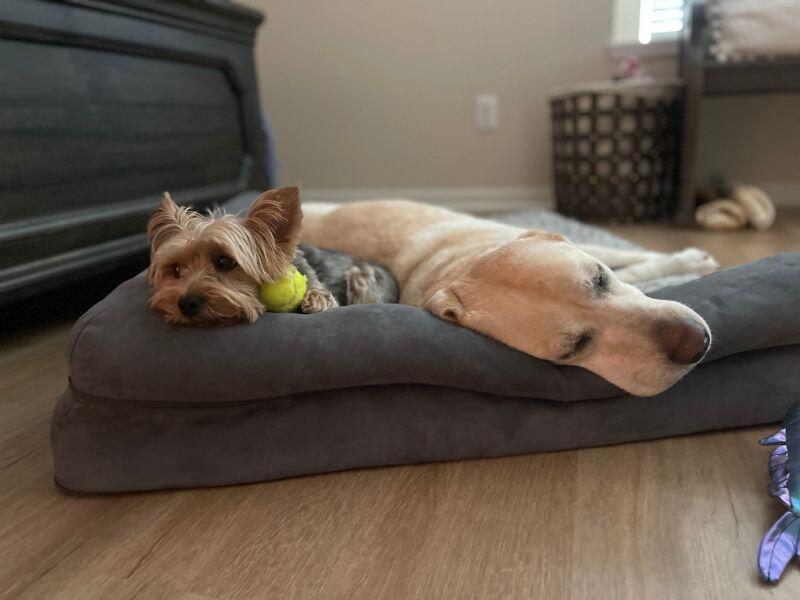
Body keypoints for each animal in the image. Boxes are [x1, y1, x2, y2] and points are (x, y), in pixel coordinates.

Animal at [300, 202, 712, 396]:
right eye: (574, 348)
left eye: (599, 277)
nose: (696, 342)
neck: (463, 264)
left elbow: (639, 261)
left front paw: (689, 260)